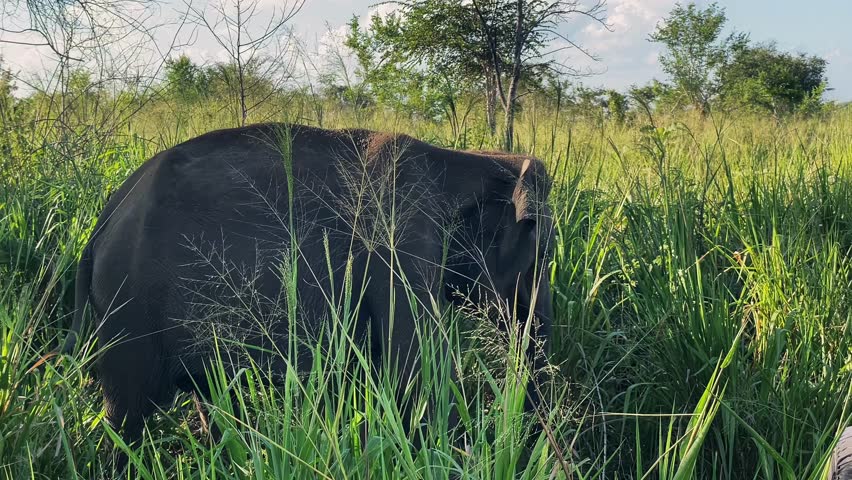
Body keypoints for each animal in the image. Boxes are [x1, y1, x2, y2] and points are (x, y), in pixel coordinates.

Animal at [63, 123, 555, 449]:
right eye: (543, 255)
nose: (539, 441)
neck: (464, 156)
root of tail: (101, 224)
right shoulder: (397, 243)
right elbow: (415, 374)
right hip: (128, 312)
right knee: (126, 416)